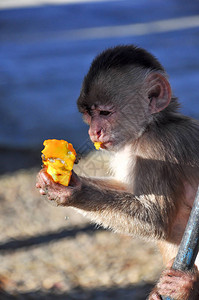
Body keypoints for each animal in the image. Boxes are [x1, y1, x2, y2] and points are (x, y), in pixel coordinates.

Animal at [35, 45, 199, 300]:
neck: (151, 126)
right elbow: (126, 188)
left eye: (104, 113)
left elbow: (155, 221)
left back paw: (187, 286)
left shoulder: (158, 147)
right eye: (88, 115)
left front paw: (71, 193)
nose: (94, 131)